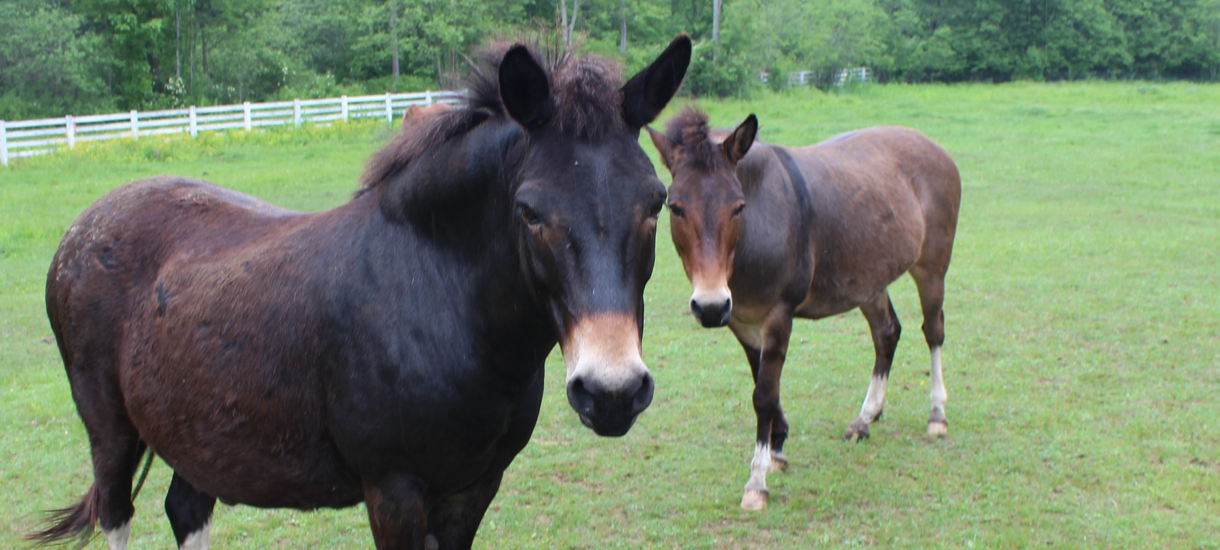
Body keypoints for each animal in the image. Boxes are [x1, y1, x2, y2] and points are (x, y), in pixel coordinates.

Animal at [31, 36, 691, 550]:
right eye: (528, 212)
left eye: (655, 203)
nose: (611, 393)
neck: (434, 295)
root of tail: (85, 224)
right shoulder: (394, 491)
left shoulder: (473, 487)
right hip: (109, 429)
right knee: (117, 512)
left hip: (193, 431)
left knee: (186, 510)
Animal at [647, 109, 961, 510]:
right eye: (675, 207)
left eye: (738, 207)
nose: (710, 306)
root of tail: (935, 148)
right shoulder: (741, 320)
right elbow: (762, 384)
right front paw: (777, 447)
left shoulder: (779, 315)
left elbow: (764, 396)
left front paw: (757, 481)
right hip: (868, 279)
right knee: (887, 333)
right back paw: (865, 419)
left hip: (931, 268)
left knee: (933, 331)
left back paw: (937, 414)